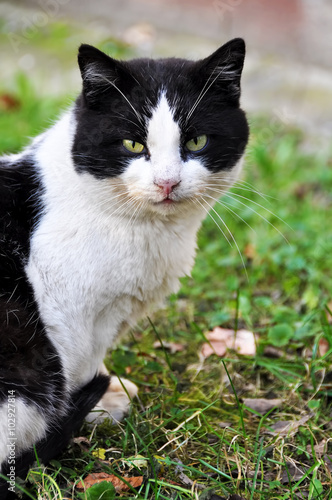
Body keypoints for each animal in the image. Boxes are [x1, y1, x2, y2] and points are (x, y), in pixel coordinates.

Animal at [0, 39, 249, 496]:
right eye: (133, 145)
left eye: (197, 141)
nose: (167, 182)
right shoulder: (66, 313)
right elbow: (78, 362)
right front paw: (100, 403)